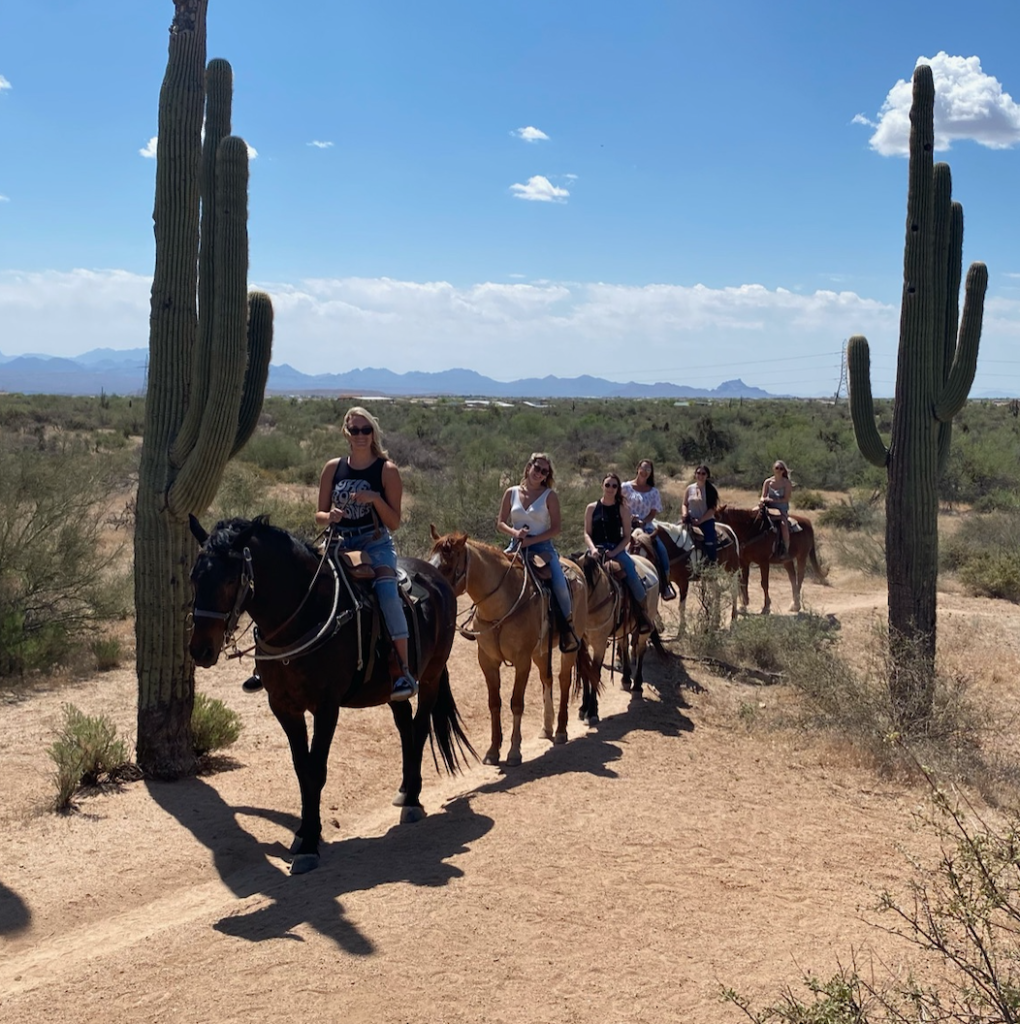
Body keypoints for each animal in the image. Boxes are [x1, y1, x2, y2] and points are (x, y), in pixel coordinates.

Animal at [188, 516, 473, 876]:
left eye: (228, 579)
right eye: (194, 577)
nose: (200, 649)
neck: (307, 614)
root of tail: (437, 579)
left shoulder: (326, 707)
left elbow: (316, 770)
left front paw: (310, 845)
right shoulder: (284, 707)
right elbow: (302, 769)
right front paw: (302, 835)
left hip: (432, 674)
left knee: (420, 728)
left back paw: (412, 800)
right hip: (391, 688)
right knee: (405, 726)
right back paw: (405, 788)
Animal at [430, 528, 589, 770]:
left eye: (447, 567)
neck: (501, 607)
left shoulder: (522, 661)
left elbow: (516, 703)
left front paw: (514, 751)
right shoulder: (487, 661)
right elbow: (494, 703)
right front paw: (493, 751)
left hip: (570, 644)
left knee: (563, 680)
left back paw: (561, 730)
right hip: (540, 651)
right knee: (547, 678)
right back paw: (547, 727)